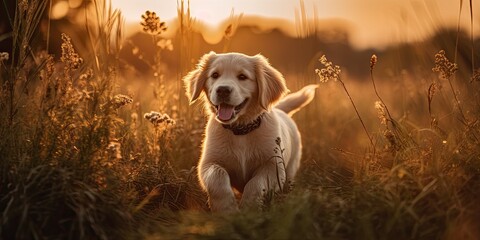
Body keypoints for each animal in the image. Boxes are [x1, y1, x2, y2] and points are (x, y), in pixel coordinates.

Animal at [185, 51, 318, 211]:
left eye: (242, 77)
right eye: (215, 75)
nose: (222, 90)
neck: (241, 130)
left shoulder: (273, 166)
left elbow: (256, 184)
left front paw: (249, 207)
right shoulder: (208, 163)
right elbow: (218, 177)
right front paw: (226, 208)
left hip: (291, 168)